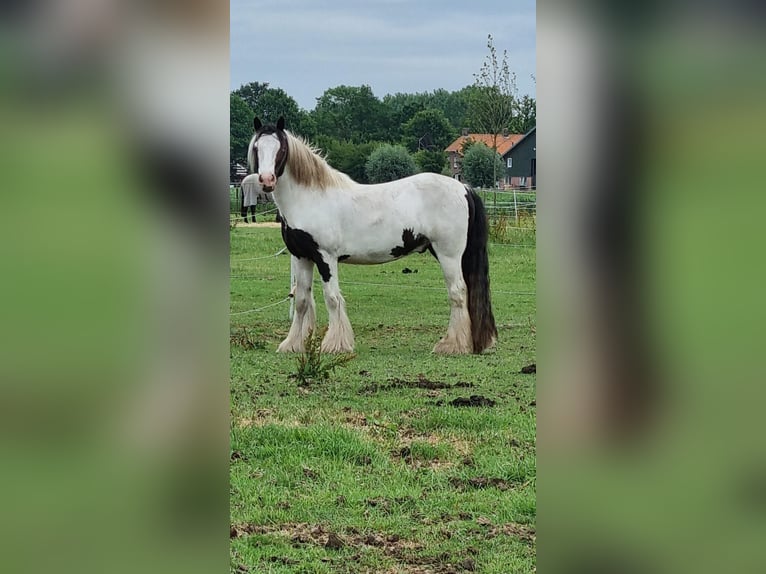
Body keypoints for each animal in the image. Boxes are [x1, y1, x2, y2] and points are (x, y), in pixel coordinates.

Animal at [248, 118, 498, 356]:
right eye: (257, 147)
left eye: (281, 148)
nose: (267, 180)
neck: (310, 199)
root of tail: (463, 187)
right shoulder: (302, 257)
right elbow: (301, 301)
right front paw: (292, 345)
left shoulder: (326, 258)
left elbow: (332, 298)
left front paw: (335, 345)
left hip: (448, 255)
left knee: (458, 293)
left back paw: (452, 345)